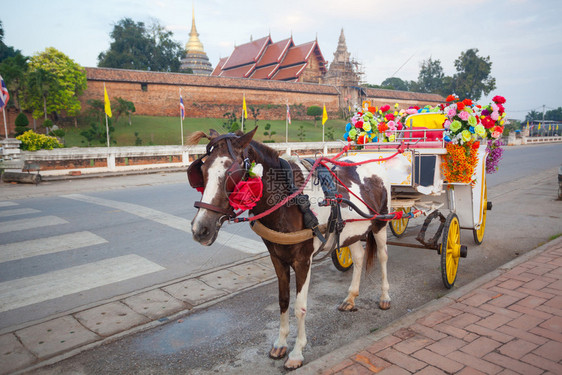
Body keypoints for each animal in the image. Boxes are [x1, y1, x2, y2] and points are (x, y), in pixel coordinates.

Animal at [188, 129, 390, 370]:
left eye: (232, 173)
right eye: (201, 171)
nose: (200, 229)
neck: (290, 200)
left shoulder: (303, 261)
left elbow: (299, 306)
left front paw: (296, 352)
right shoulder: (277, 258)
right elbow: (283, 300)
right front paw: (281, 343)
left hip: (380, 223)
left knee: (383, 257)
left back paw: (385, 296)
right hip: (351, 232)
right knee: (358, 258)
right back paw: (350, 298)